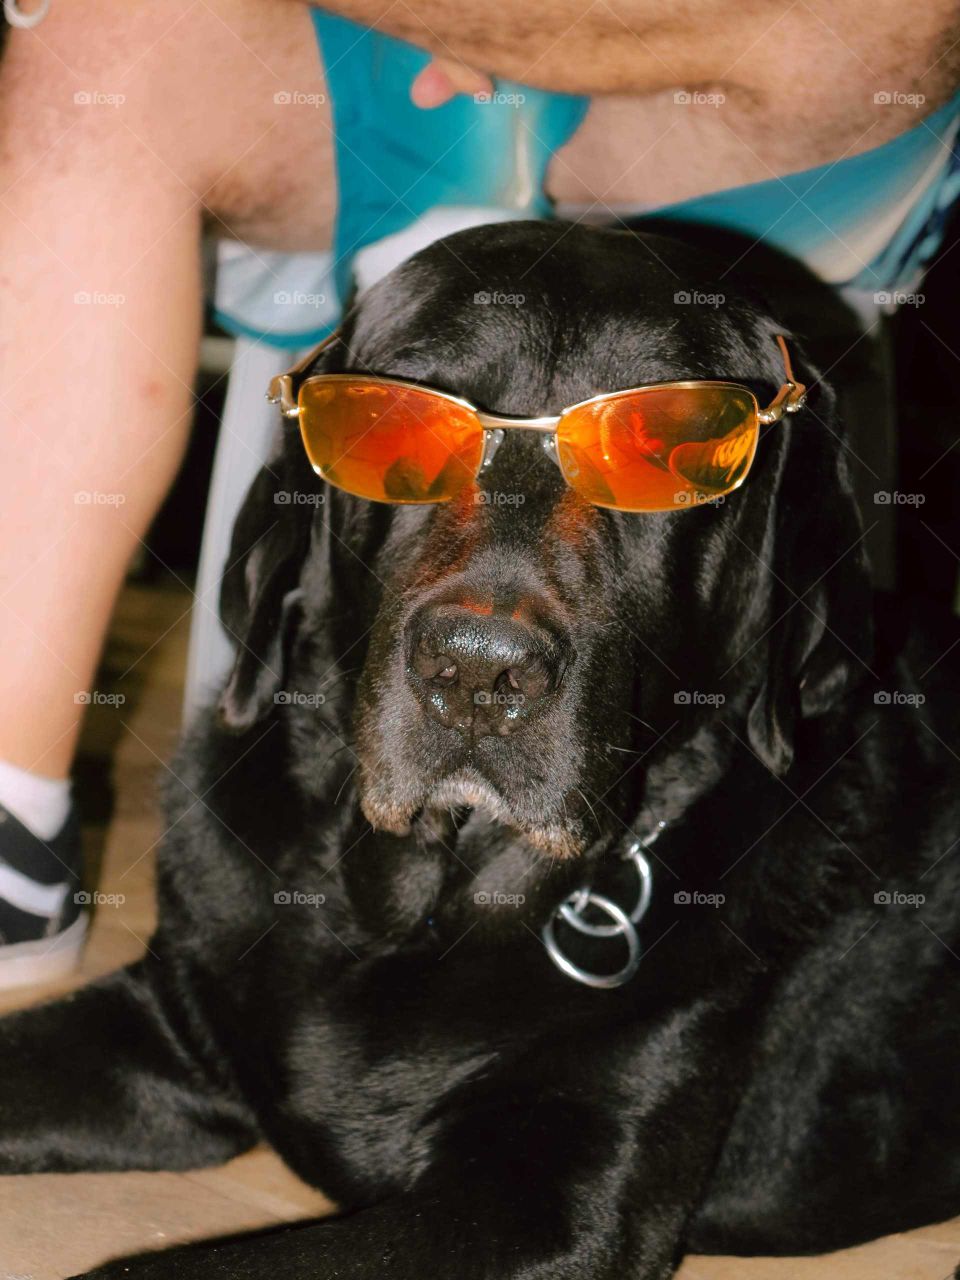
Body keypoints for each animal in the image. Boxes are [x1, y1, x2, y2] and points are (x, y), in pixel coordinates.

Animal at [1, 222, 960, 1280]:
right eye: (385, 430)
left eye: (671, 453)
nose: (477, 672)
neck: (409, 911)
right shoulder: (162, 1021)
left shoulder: (550, 1203)